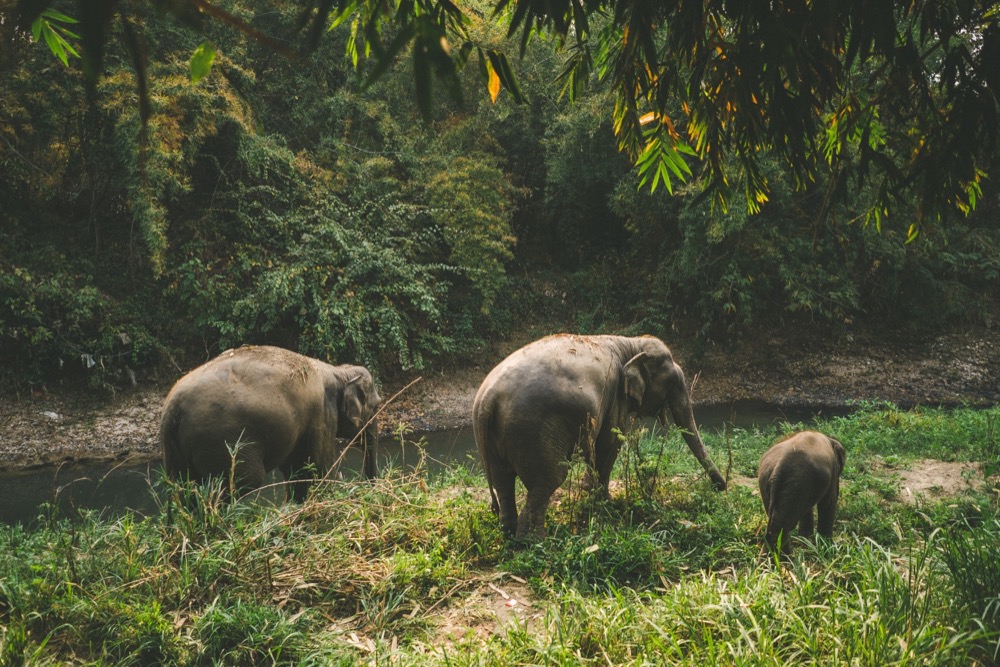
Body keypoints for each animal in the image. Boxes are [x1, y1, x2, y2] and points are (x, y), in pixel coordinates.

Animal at [158, 348, 380, 498]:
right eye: (377, 406)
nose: (371, 488)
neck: (338, 371)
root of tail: (172, 408)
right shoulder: (321, 415)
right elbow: (319, 468)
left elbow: (297, 471)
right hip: (219, 441)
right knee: (240, 482)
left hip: (176, 449)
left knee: (184, 489)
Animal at [472, 332, 724, 540]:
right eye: (672, 382)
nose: (720, 487)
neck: (630, 343)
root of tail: (488, 399)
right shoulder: (615, 396)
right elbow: (610, 442)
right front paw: (605, 502)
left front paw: (590, 491)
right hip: (532, 431)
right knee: (547, 481)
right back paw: (535, 542)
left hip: (496, 436)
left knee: (503, 481)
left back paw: (508, 531)